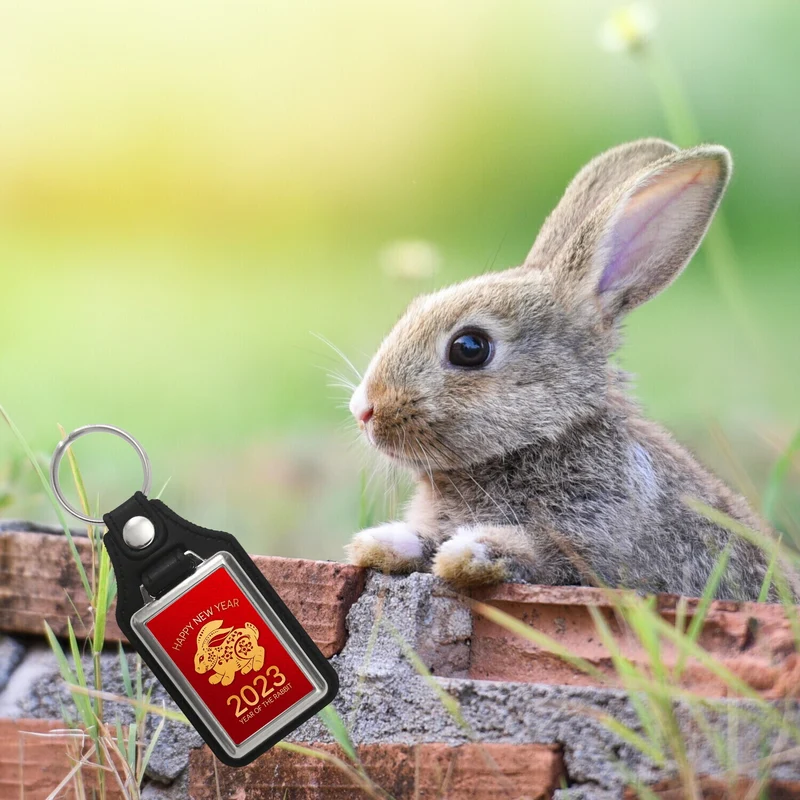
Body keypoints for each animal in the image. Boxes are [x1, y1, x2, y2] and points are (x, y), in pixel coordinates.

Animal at [344, 138, 781, 601]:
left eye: (469, 348)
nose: (363, 409)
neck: (546, 436)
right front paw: (381, 542)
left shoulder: (591, 542)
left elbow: (536, 553)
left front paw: (469, 553)